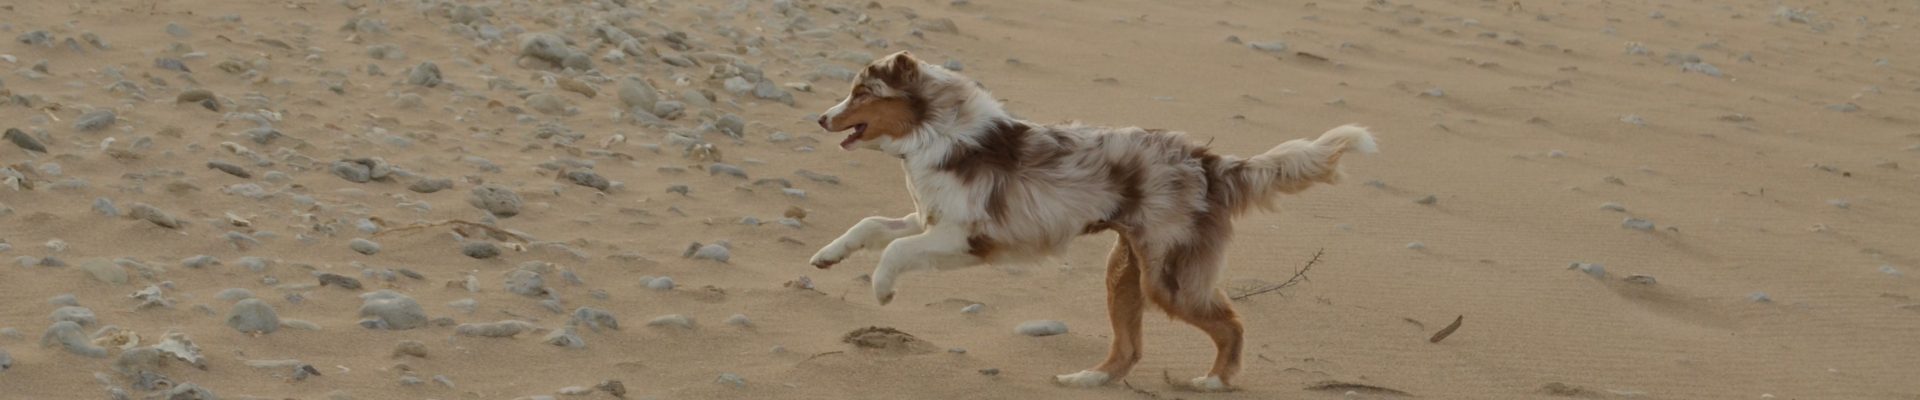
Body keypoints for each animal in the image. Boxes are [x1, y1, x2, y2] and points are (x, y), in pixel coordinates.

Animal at [810, 50, 1382, 390]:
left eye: (862, 93)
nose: (819, 118)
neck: (938, 131)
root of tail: (1210, 161)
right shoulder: (926, 217)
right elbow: (871, 226)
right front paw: (826, 255)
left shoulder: (964, 236)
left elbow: (894, 249)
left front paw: (883, 290)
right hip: (1125, 272)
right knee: (1129, 348)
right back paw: (1087, 379)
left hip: (1167, 279)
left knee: (1230, 323)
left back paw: (1214, 382)